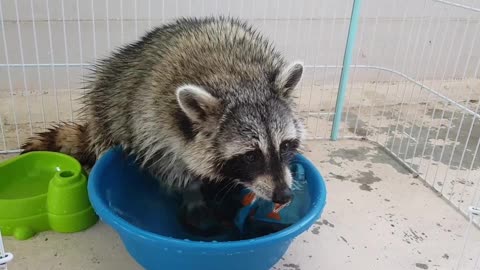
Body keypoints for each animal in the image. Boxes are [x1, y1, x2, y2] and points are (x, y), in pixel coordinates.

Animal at [23, 17, 304, 224]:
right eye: (250, 156)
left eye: (285, 146)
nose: (284, 195)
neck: (239, 79)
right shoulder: (153, 121)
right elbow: (169, 165)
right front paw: (192, 193)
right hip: (106, 105)